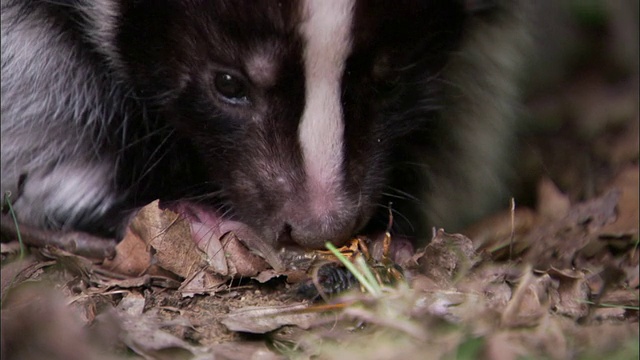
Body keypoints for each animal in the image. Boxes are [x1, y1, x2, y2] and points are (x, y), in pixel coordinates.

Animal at [2, 1, 528, 258]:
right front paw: (190, 214)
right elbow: (39, 90)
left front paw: (394, 226)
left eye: (390, 81)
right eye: (228, 82)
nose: (322, 224)